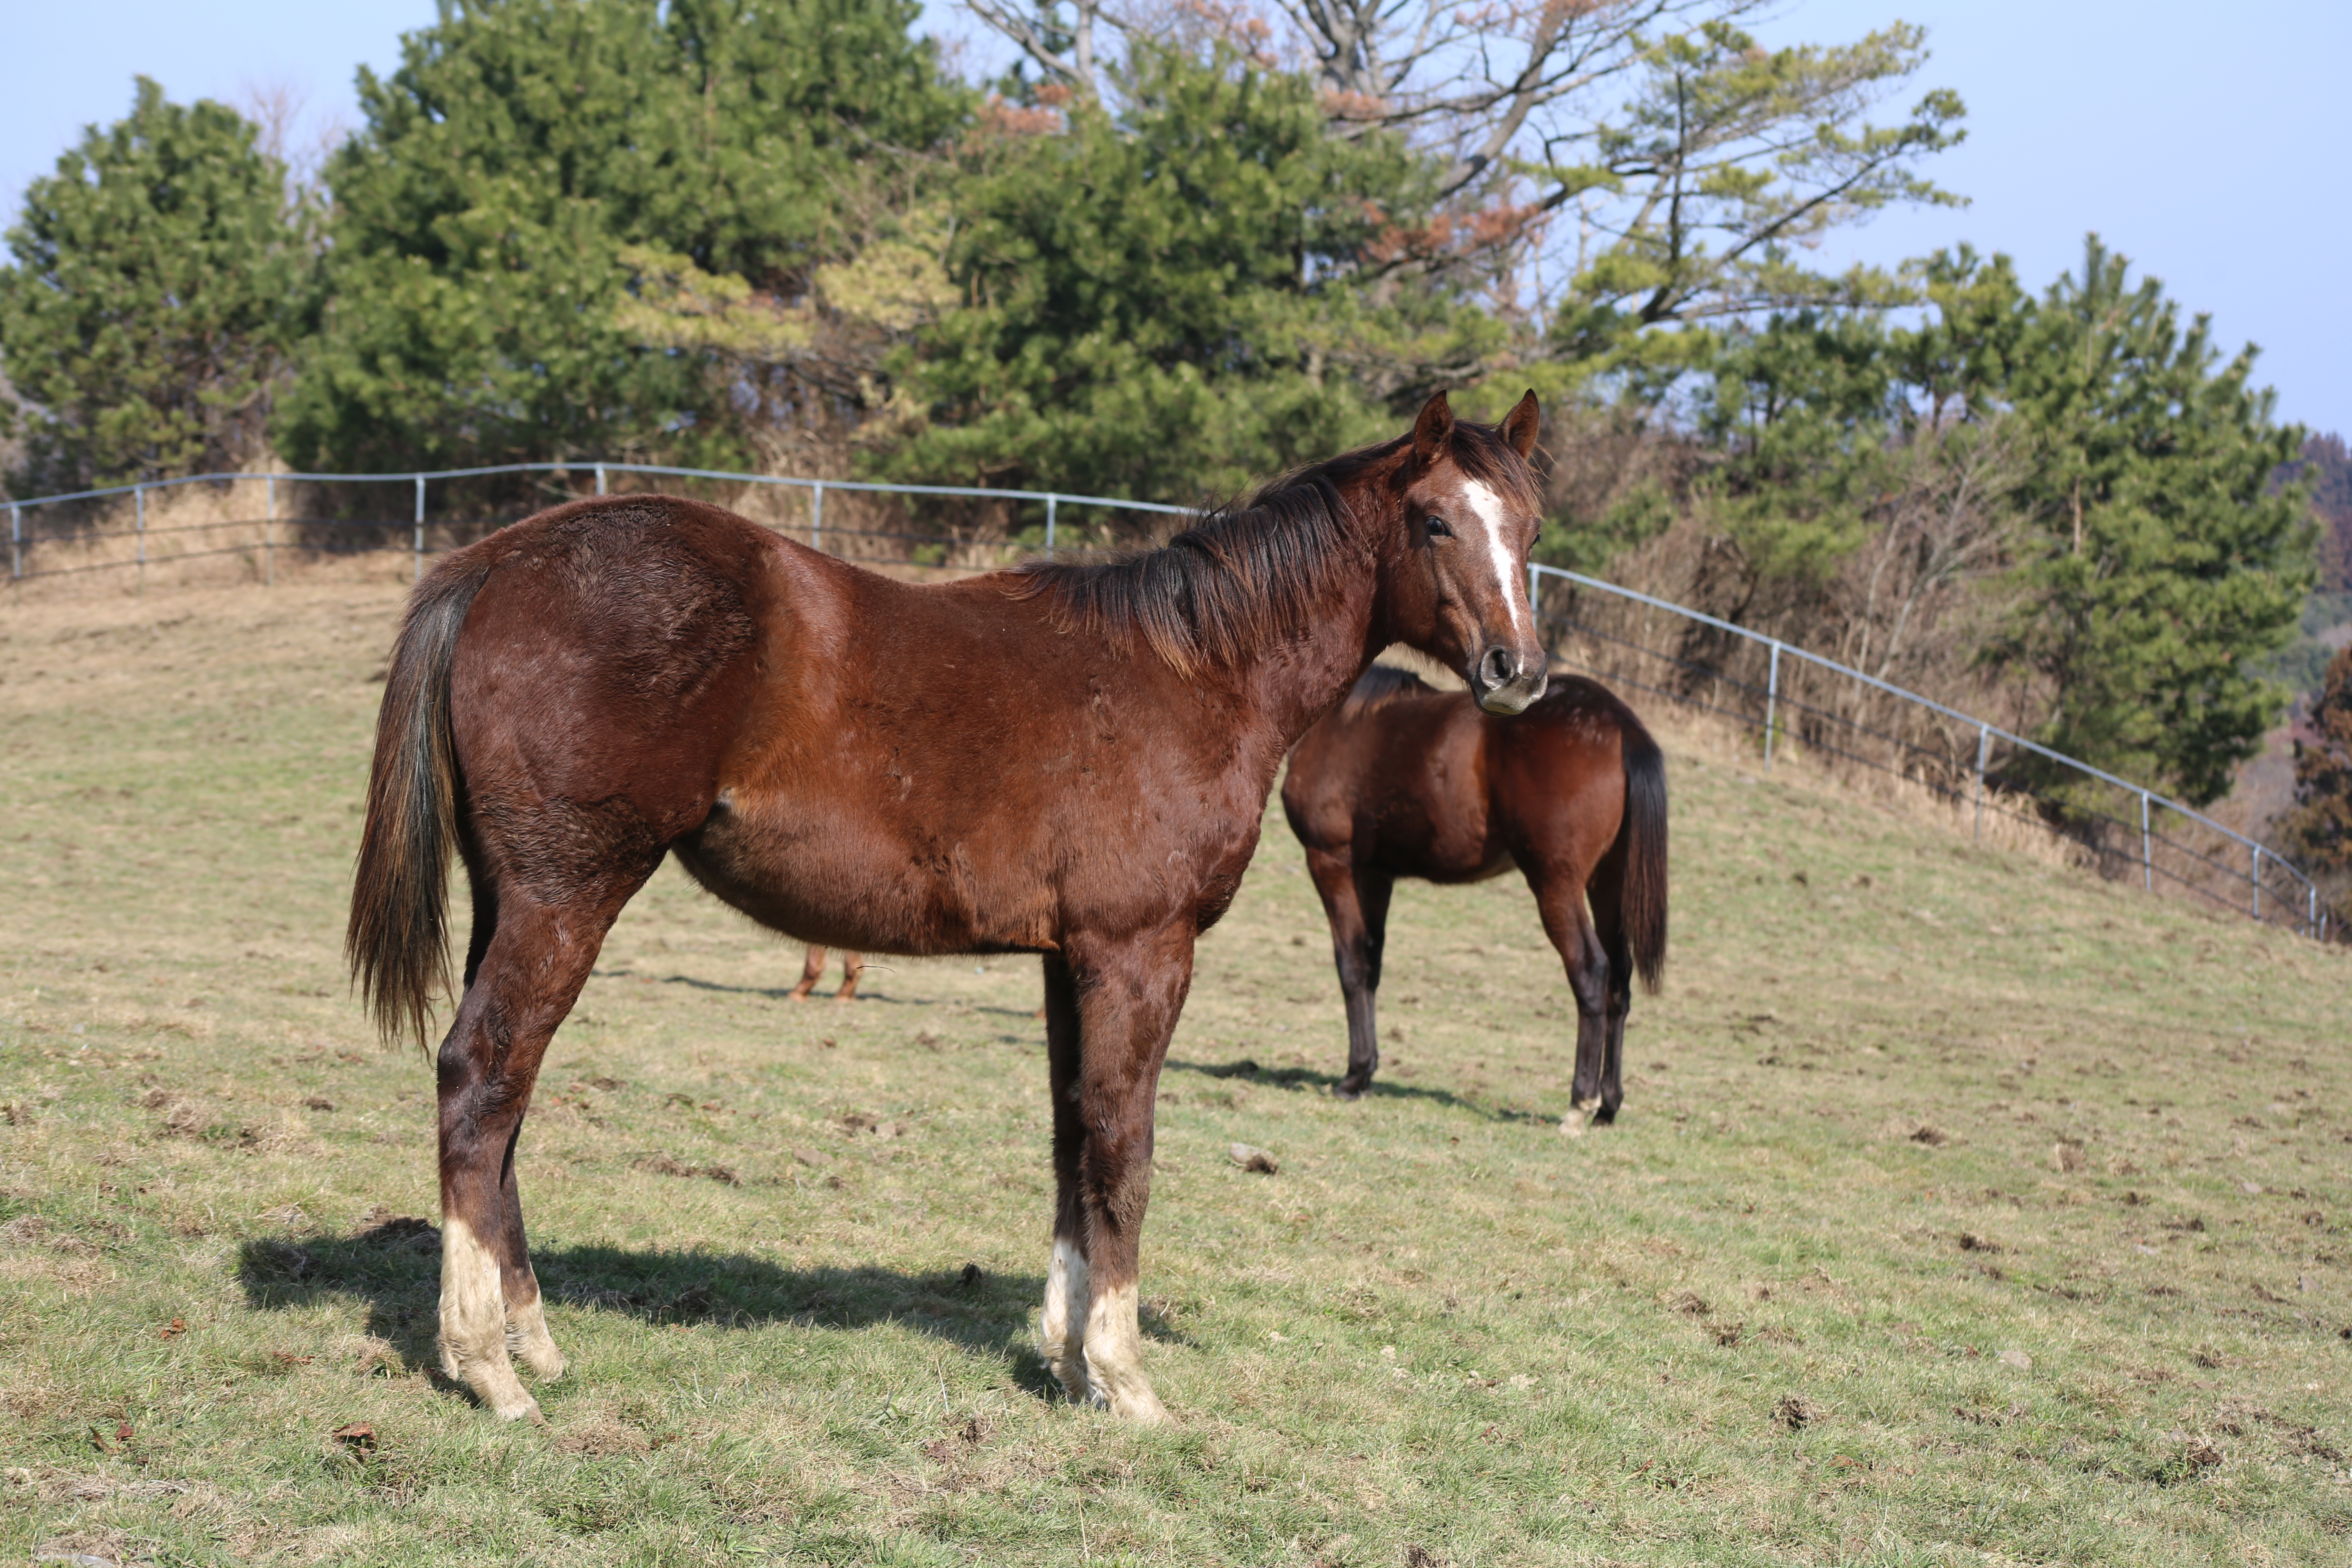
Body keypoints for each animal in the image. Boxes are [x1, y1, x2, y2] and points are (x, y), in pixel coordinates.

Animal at [1279, 663, 1665, 1128]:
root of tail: (1622, 726)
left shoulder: (1332, 862)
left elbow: (1351, 967)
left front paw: (1353, 1078)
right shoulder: (1375, 875)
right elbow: (1371, 967)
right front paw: (1366, 1073)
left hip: (1556, 882)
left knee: (1591, 971)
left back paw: (1580, 1104)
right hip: (1608, 883)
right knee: (1619, 985)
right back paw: (1608, 1106)